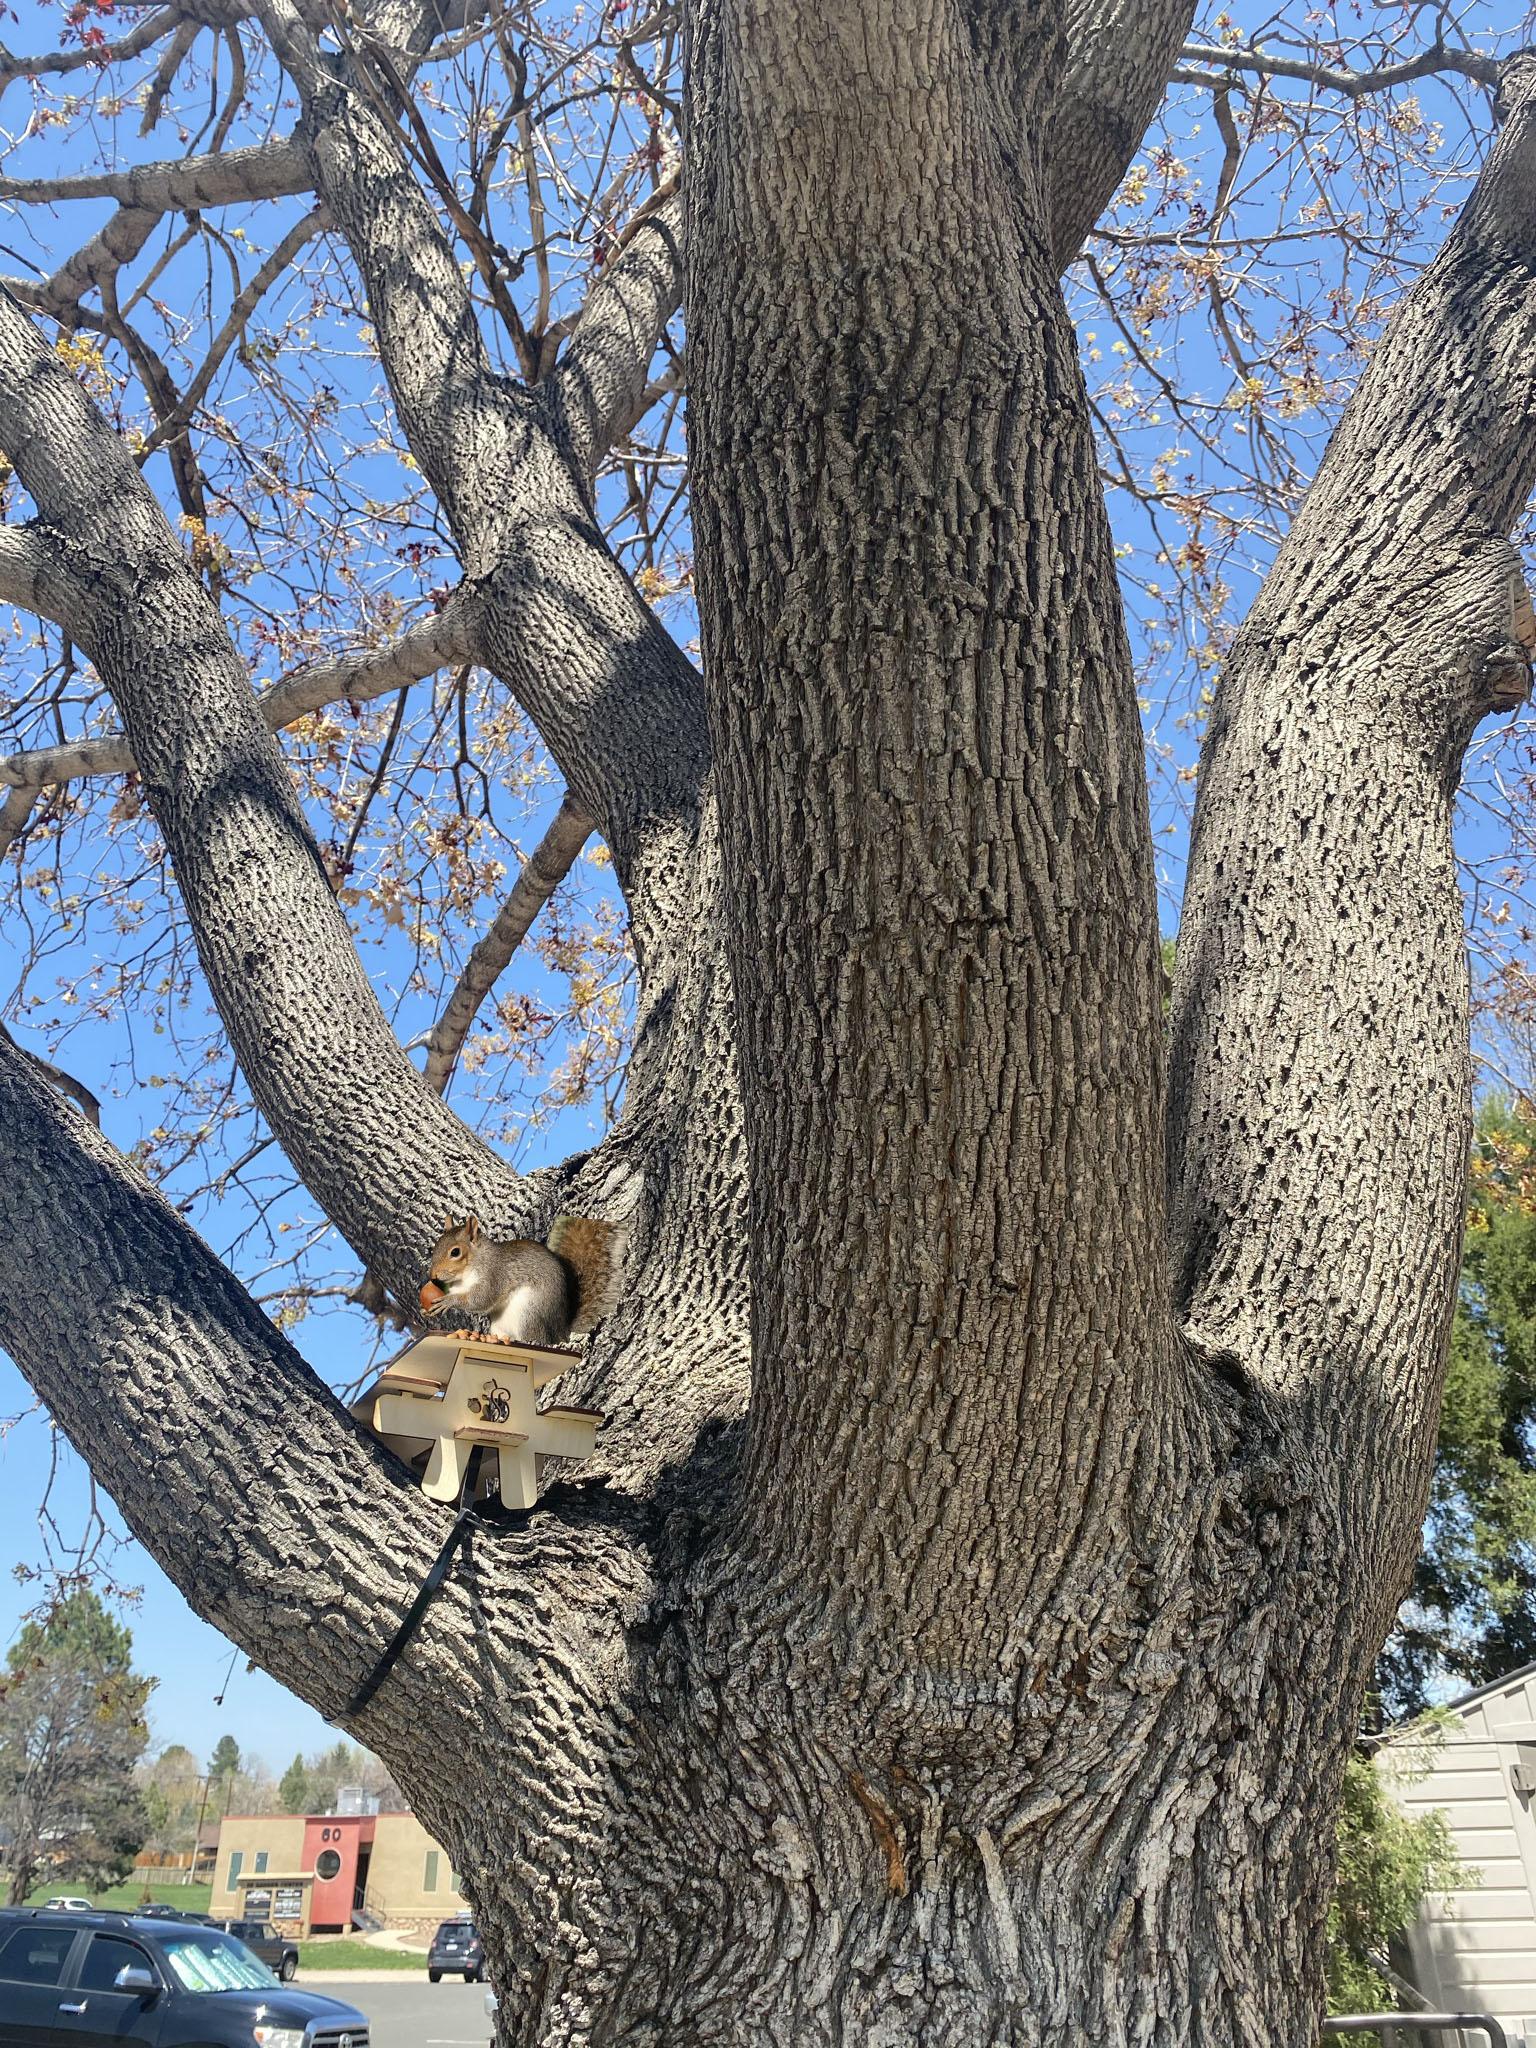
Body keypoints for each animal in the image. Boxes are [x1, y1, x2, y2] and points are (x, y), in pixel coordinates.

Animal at [417, 1212, 626, 1343]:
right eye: (436, 1246)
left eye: (455, 1252)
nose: (432, 1275)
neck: (464, 1276)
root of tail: (560, 1333)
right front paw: (425, 1310)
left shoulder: (495, 1275)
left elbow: (481, 1299)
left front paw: (448, 1302)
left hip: (529, 1313)